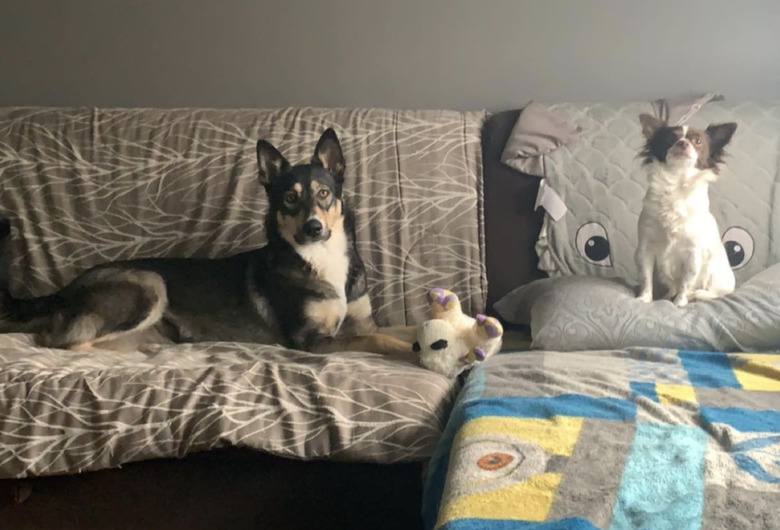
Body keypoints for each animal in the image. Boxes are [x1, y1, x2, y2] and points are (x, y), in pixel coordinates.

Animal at [0, 129, 414, 358]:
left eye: (325, 193)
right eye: (289, 198)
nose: (313, 229)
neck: (320, 258)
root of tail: (64, 290)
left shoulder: (361, 322)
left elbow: (399, 328)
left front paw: (425, 339)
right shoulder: (311, 339)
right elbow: (383, 340)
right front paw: (415, 353)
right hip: (149, 283)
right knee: (59, 341)